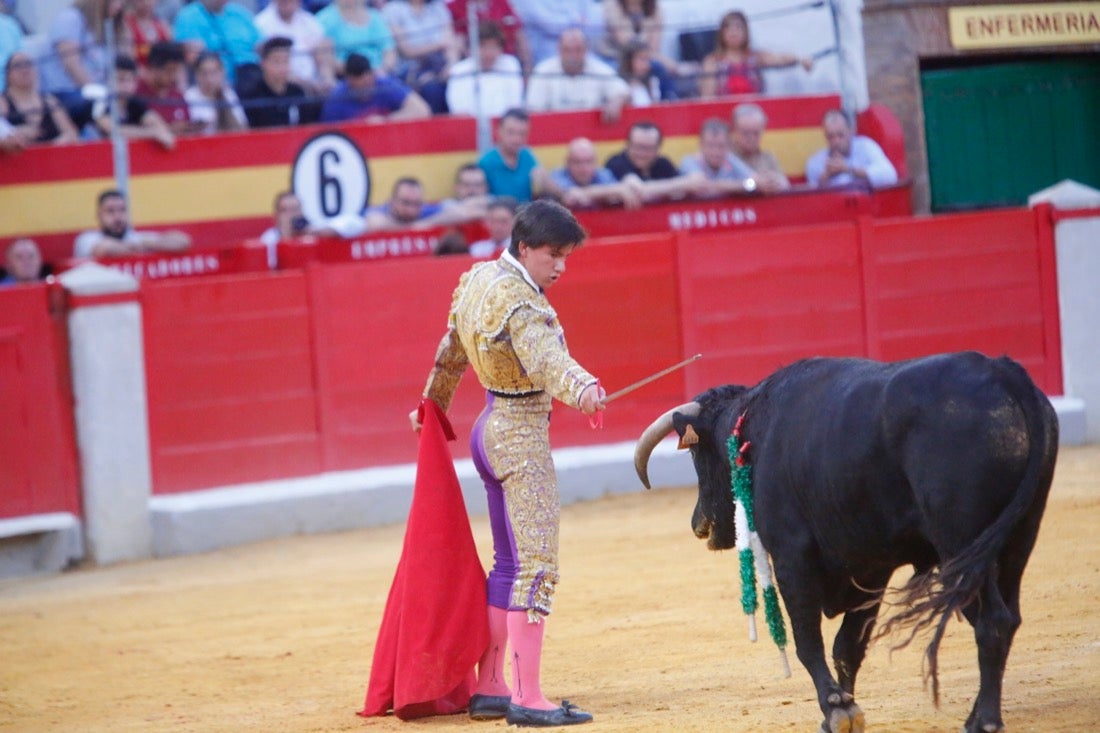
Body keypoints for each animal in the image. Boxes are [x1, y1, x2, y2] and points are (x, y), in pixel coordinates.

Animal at [638, 352, 1056, 726]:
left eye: (696, 453)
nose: (699, 525)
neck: (751, 431)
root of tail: (1003, 372)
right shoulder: (870, 565)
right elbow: (848, 645)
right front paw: (845, 707)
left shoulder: (791, 555)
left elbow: (808, 640)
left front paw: (836, 709)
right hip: (1020, 536)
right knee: (1007, 617)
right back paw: (979, 712)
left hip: (962, 542)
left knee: (992, 620)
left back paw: (983, 720)